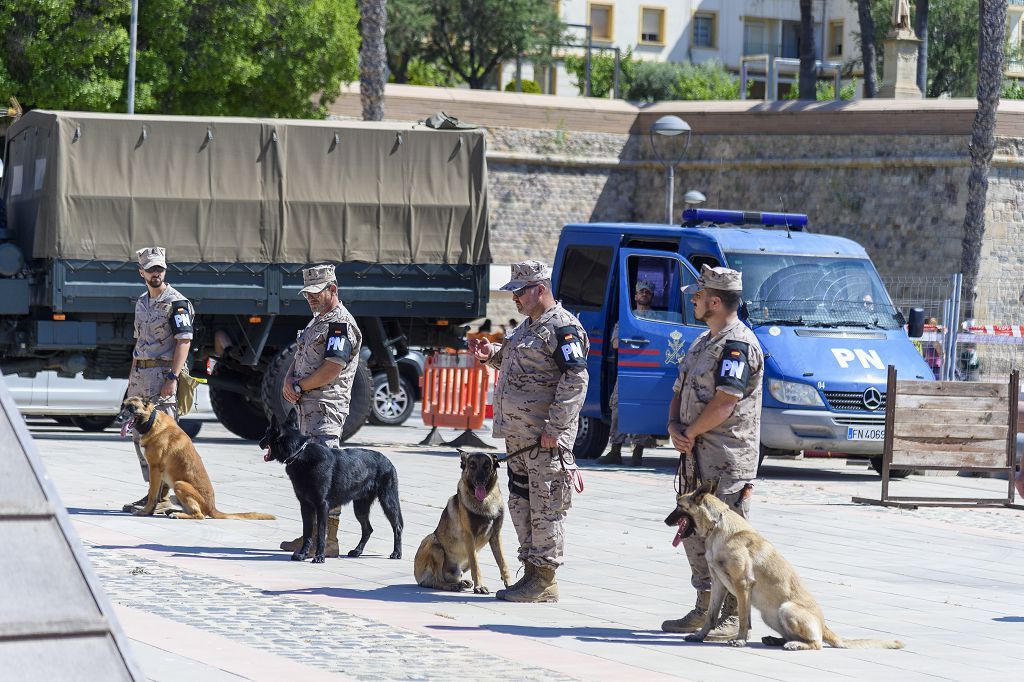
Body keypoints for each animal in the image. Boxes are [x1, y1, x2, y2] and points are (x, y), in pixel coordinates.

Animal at [118, 395, 276, 518]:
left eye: (132, 408)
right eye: (123, 406)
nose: (119, 418)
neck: (151, 422)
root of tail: (212, 508)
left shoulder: (155, 469)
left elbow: (152, 494)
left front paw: (145, 511)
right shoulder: (159, 474)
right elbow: (157, 495)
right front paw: (150, 511)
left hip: (179, 484)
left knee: (199, 515)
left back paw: (178, 514)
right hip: (176, 492)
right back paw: (173, 511)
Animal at [260, 409, 403, 561]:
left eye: (267, 433)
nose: (259, 443)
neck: (300, 454)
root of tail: (388, 461)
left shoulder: (322, 506)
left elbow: (321, 533)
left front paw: (319, 556)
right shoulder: (306, 506)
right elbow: (307, 532)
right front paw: (303, 554)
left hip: (388, 502)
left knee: (397, 526)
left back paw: (397, 553)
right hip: (360, 508)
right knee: (368, 529)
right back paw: (357, 551)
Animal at [413, 450, 509, 589]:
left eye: (487, 466)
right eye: (472, 466)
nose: (480, 482)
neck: (485, 500)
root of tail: (417, 577)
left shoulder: (496, 536)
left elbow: (503, 563)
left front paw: (510, 584)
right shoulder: (469, 537)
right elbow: (476, 565)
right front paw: (479, 586)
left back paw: (461, 582)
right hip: (434, 544)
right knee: (436, 581)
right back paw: (451, 586)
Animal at [671, 477, 905, 647]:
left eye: (678, 505)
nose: (666, 520)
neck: (717, 527)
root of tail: (824, 625)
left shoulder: (742, 585)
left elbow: (744, 618)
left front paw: (740, 640)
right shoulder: (719, 584)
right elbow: (711, 616)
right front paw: (699, 636)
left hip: (786, 608)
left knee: (816, 643)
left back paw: (794, 645)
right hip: (771, 616)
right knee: (796, 636)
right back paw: (776, 640)